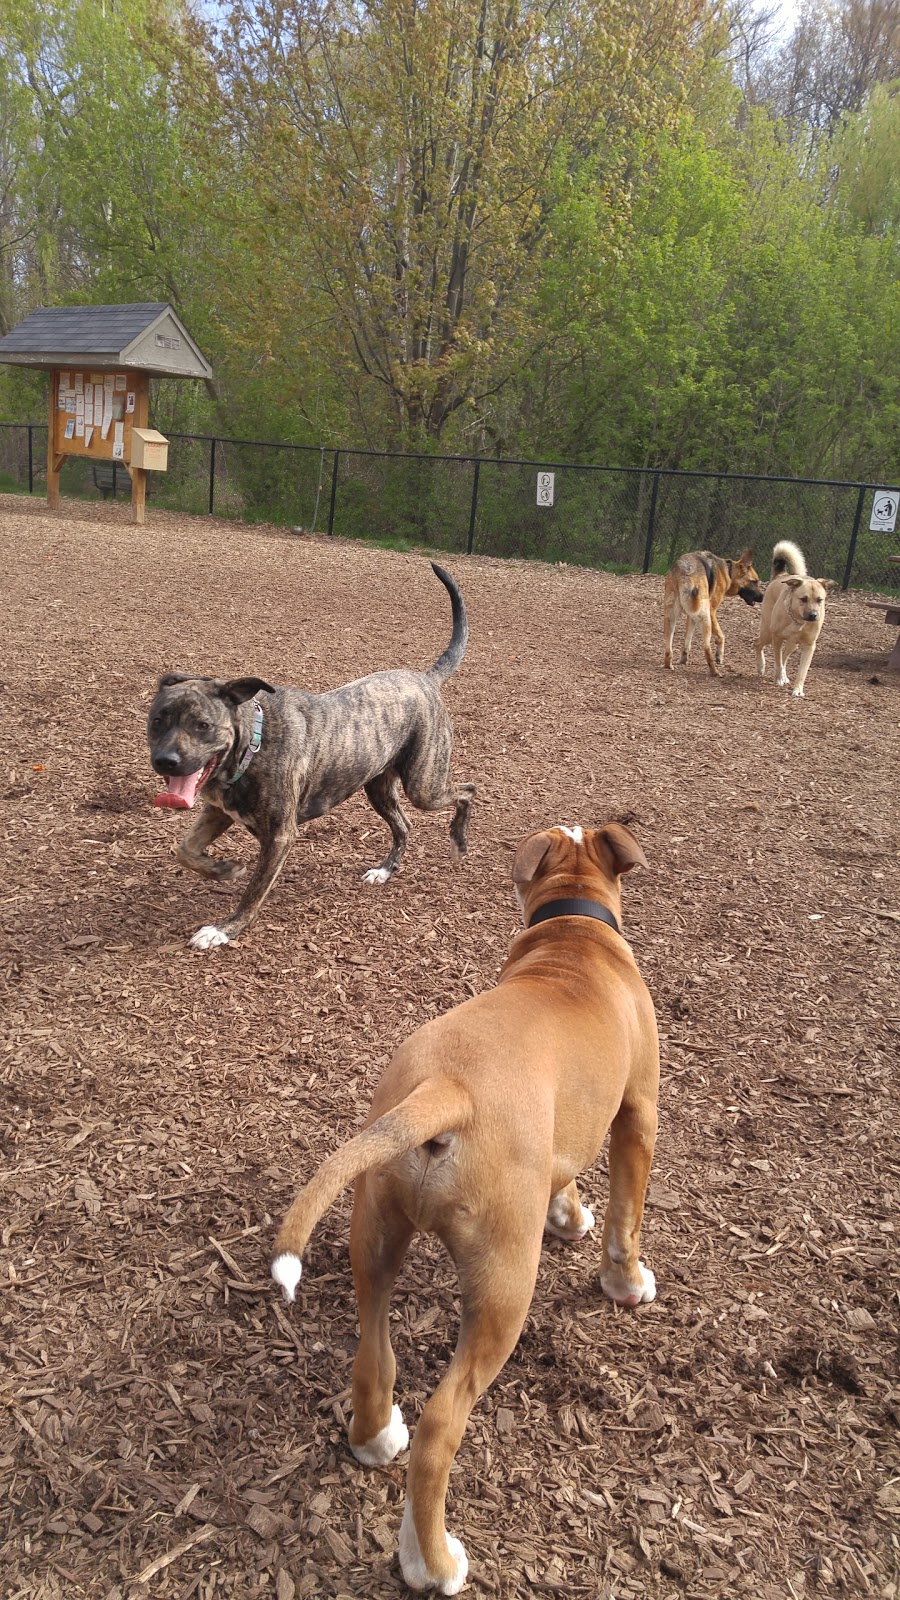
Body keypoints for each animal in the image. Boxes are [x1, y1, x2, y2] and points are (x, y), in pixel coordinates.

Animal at [143, 566, 474, 947]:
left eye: (202, 725)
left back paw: (459, 844)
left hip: (423, 786)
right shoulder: (218, 812)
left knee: (467, 791)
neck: (253, 744)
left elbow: (253, 892)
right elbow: (184, 849)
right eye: (157, 721)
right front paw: (222, 869)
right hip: (378, 788)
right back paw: (384, 871)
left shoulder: (279, 837)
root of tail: (425, 679)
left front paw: (224, 929)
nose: (166, 761)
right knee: (404, 825)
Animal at [752, 540, 832, 697]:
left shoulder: (809, 645)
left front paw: (798, 690)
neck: (798, 621)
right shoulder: (777, 638)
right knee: (758, 644)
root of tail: (781, 575)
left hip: (793, 644)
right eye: (803, 599)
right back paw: (761, 667)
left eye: (820, 600)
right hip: (768, 633)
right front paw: (779, 678)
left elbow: (802, 671)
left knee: (785, 656)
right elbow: (778, 661)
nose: (813, 615)